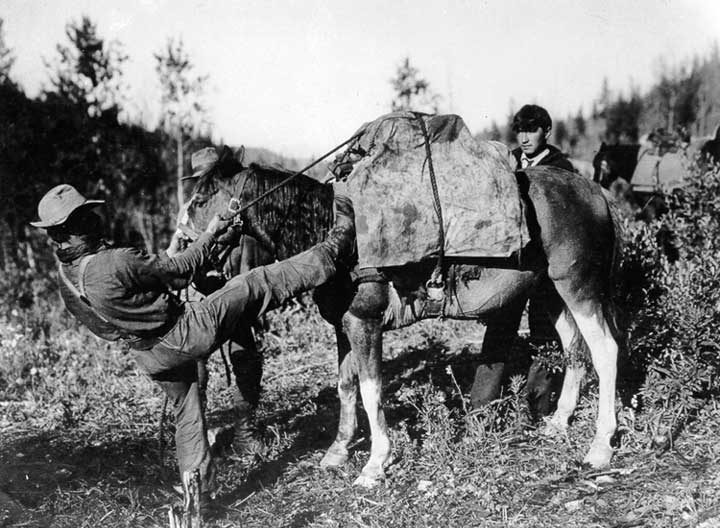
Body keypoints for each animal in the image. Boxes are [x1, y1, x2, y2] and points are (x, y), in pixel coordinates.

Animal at [180, 155, 622, 488]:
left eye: (200, 199)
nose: (180, 249)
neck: (338, 234)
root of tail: (595, 191)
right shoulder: (344, 327)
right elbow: (346, 387)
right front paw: (338, 451)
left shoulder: (365, 323)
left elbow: (371, 389)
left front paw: (375, 463)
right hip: (550, 292)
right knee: (575, 350)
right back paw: (559, 423)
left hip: (577, 287)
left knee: (605, 351)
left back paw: (600, 446)